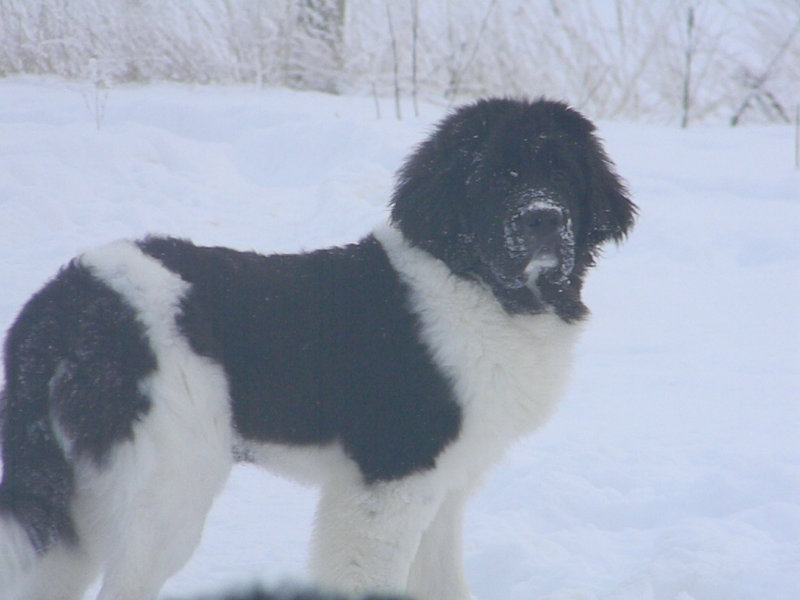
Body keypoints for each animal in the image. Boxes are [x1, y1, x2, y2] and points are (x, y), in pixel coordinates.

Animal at [1, 99, 636, 600]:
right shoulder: (388, 484)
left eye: (564, 175)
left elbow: (441, 583)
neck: (475, 284)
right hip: (167, 488)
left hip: (75, 502)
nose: (543, 220)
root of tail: (65, 299)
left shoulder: (443, 490)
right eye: (498, 178)